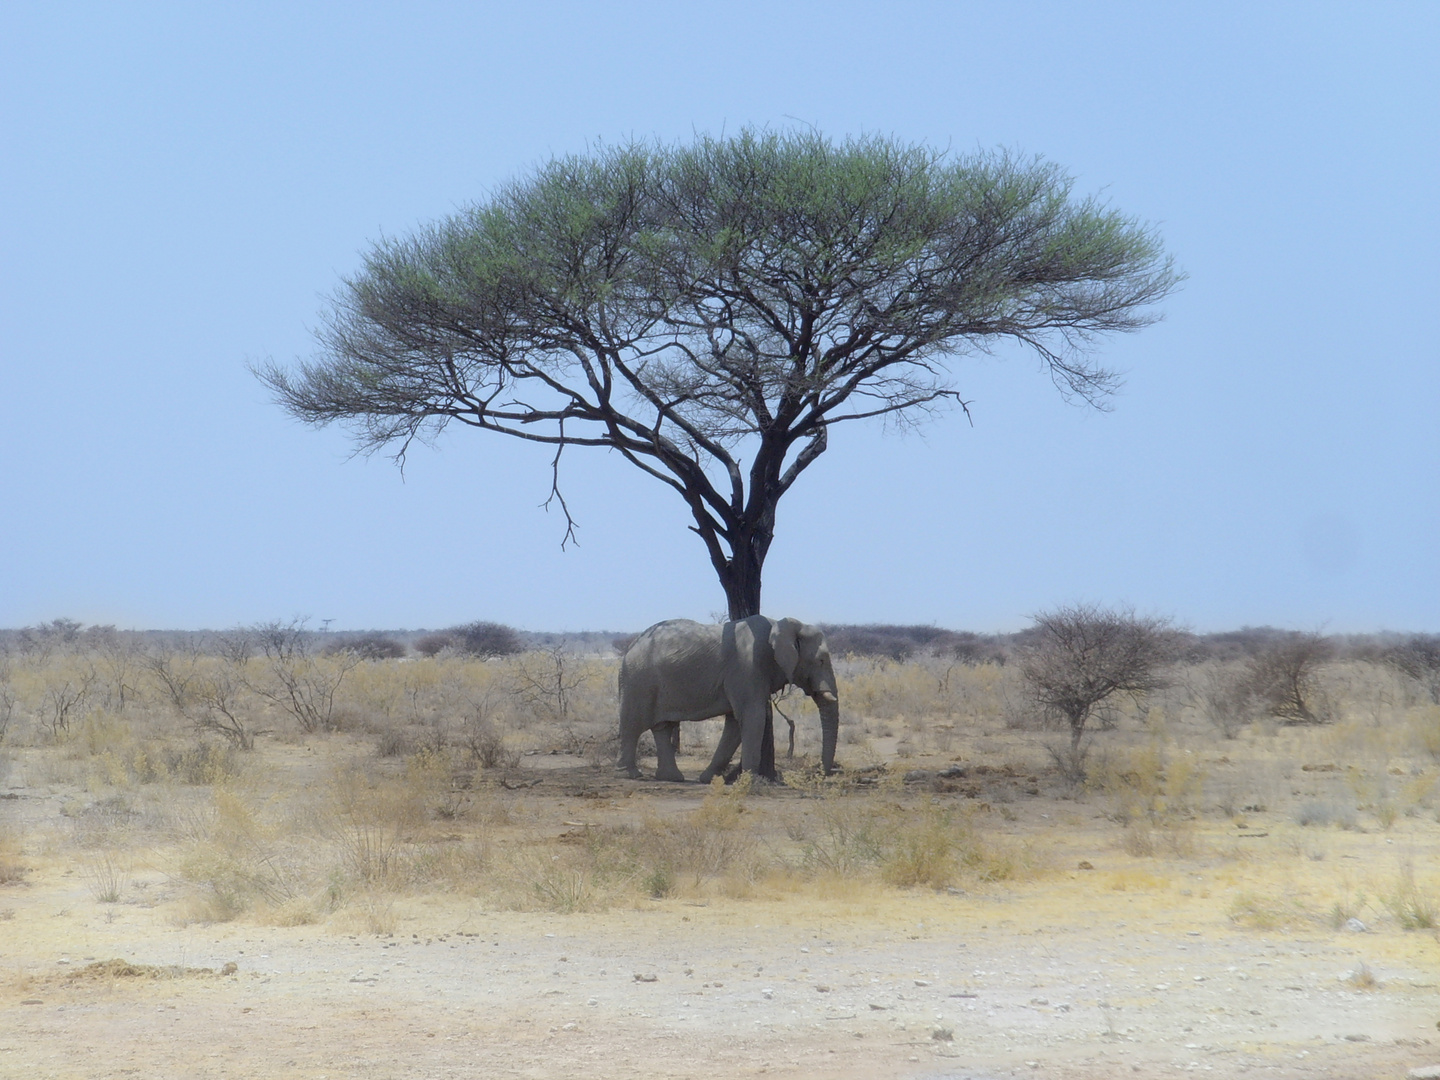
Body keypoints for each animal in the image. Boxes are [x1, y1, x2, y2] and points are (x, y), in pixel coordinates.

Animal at [619, 616, 840, 789]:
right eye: (821, 660)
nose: (815, 775)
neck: (779, 625)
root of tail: (631, 646)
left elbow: (735, 723)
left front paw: (709, 779)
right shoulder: (748, 666)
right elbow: (753, 716)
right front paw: (752, 783)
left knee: (663, 727)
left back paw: (672, 778)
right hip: (638, 680)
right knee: (632, 725)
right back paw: (631, 774)